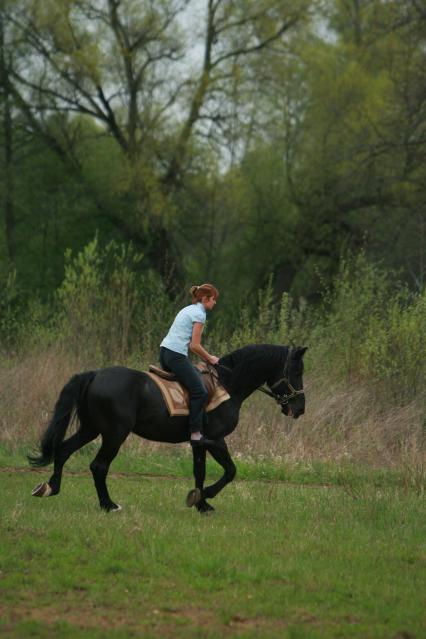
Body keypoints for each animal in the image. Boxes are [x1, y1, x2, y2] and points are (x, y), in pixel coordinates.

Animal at [29, 344, 306, 516]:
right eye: (296, 370)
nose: (300, 408)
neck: (228, 384)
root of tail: (95, 375)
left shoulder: (199, 442)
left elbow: (199, 472)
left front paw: (201, 503)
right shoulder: (215, 439)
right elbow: (230, 471)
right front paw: (205, 496)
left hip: (91, 428)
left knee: (63, 450)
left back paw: (50, 488)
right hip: (114, 434)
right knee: (99, 466)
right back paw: (109, 505)